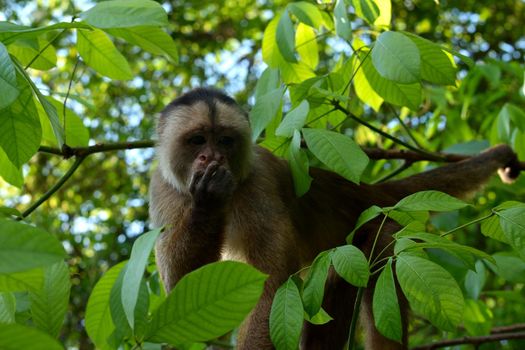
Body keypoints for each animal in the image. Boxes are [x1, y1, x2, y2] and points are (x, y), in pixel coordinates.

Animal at [148, 87, 520, 348]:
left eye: (225, 140)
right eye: (198, 140)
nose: (212, 157)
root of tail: (362, 193)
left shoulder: (259, 181)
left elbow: (271, 286)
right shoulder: (162, 187)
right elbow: (185, 293)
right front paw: (208, 200)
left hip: (374, 230)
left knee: (381, 251)